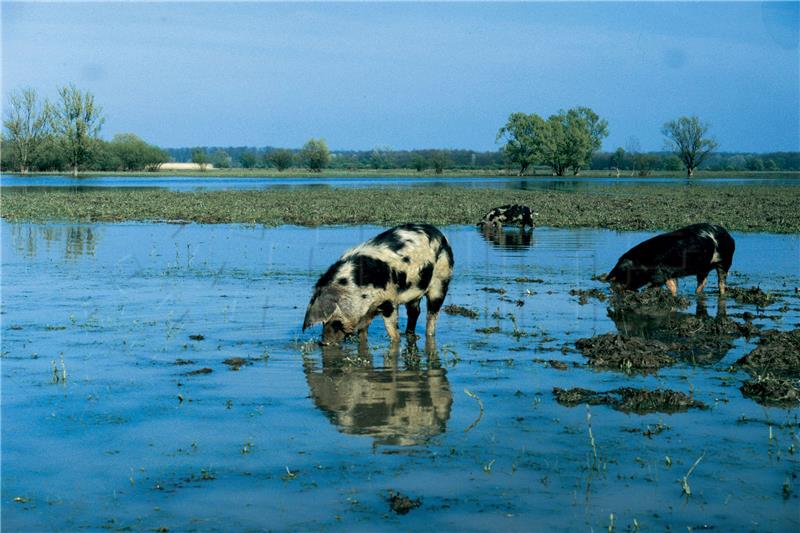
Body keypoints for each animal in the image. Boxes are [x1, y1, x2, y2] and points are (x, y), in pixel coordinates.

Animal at [302, 223, 454, 344]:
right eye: (323, 322)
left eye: (336, 323)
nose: (324, 343)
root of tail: (441, 235)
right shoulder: (367, 312)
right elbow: (363, 333)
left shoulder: (388, 300)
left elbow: (392, 330)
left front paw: (395, 339)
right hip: (415, 291)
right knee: (414, 312)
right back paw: (410, 335)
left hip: (441, 281)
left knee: (432, 313)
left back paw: (428, 334)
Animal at [604, 221, 736, 296]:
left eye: (622, 276)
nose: (611, 289)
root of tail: (728, 235)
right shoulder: (670, 274)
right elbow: (674, 286)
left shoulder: (662, 273)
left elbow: (668, 287)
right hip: (703, 267)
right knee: (702, 282)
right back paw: (697, 294)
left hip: (725, 260)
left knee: (721, 282)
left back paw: (722, 294)